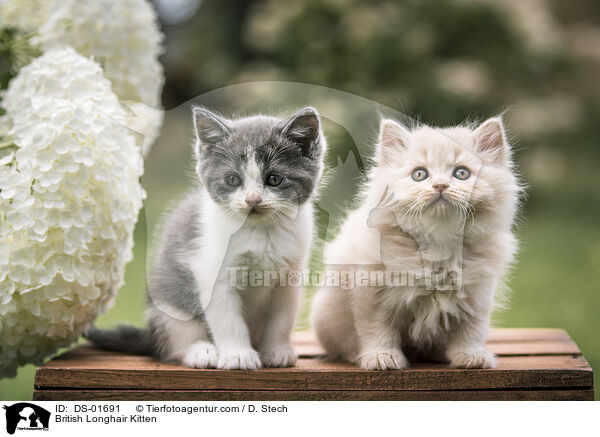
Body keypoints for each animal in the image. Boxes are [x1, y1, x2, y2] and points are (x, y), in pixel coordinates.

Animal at [86, 105, 326, 368]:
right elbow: (228, 320)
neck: (260, 232)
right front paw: (238, 355)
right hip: (169, 305)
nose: (252, 200)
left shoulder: (290, 277)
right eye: (232, 179)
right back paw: (202, 351)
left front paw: (277, 350)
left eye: (274, 179)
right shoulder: (212, 272)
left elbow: (282, 319)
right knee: (173, 342)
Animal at [312, 115, 524, 368]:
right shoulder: (372, 295)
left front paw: (470, 355)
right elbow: (377, 329)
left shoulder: (476, 295)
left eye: (462, 174)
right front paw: (382, 357)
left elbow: (471, 329)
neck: (438, 242)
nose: (440, 186)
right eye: (420, 174)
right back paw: (356, 355)